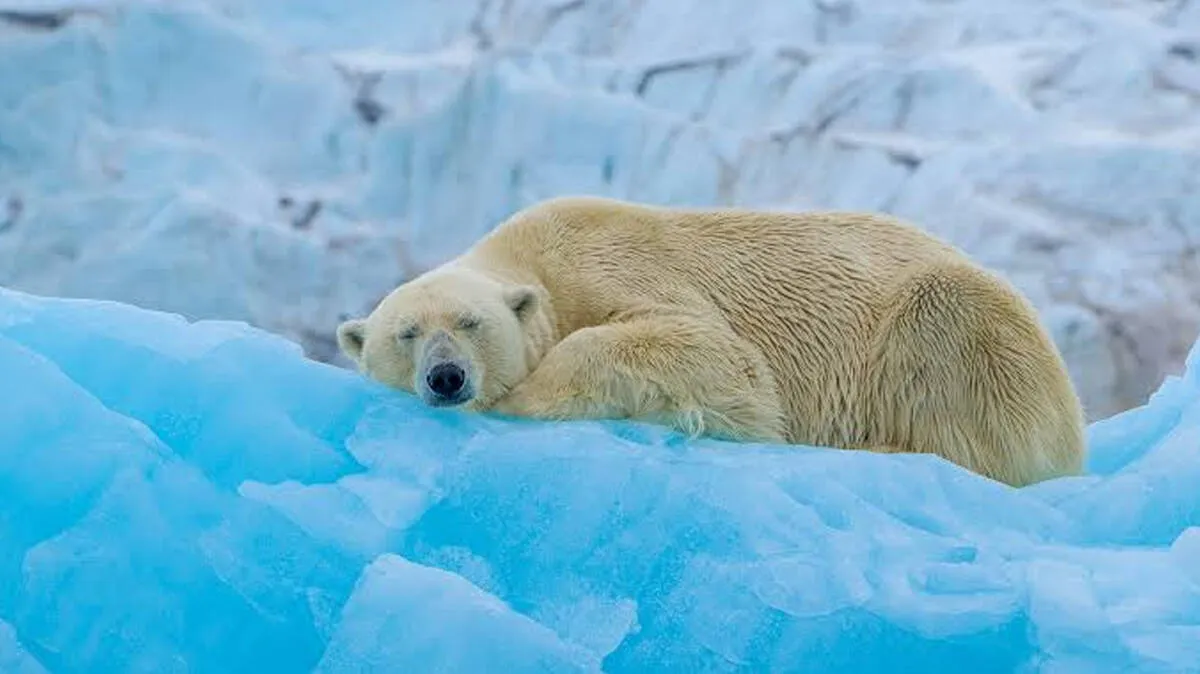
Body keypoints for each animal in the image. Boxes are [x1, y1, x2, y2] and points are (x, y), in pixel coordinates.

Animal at [337, 196, 1086, 487]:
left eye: (469, 323)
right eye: (406, 334)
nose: (447, 377)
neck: (537, 258)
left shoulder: (614, 266)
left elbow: (715, 355)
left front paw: (523, 396)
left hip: (966, 325)